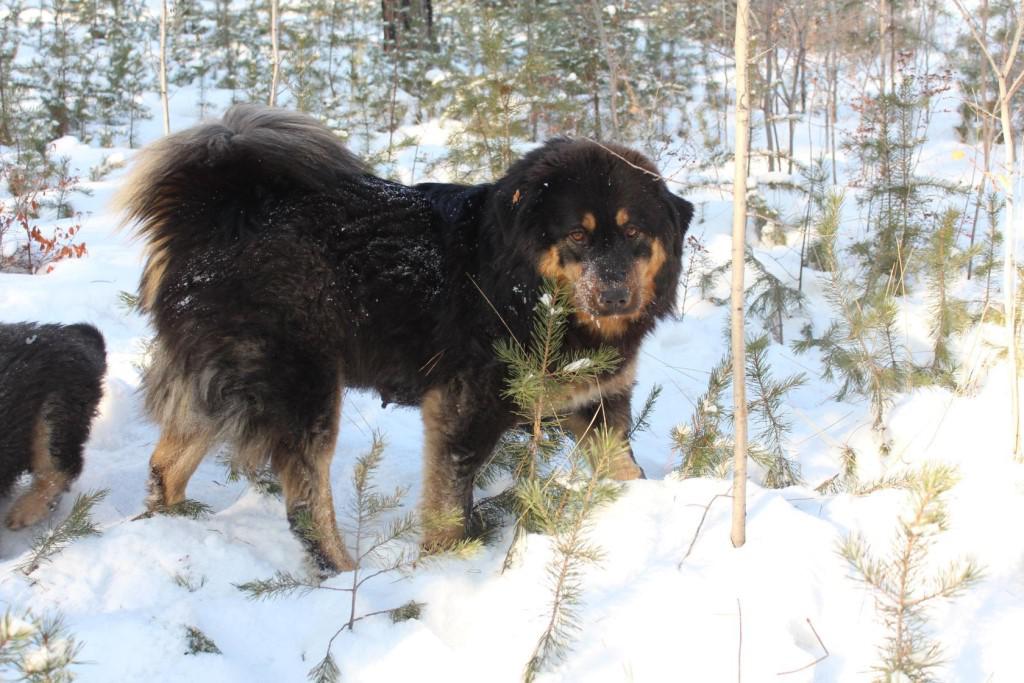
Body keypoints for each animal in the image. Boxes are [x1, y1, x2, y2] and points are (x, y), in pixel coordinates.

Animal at [119, 105, 692, 573]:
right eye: (577, 234)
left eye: (635, 233)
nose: (615, 294)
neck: (519, 283)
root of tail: (215, 213)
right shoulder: (463, 409)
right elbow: (448, 508)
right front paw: (440, 569)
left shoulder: (597, 403)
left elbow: (624, 469)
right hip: (302, 389)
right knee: (305, 506)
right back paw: (344, 575)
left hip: (224, 384)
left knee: (166, 463)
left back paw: (172, 525)